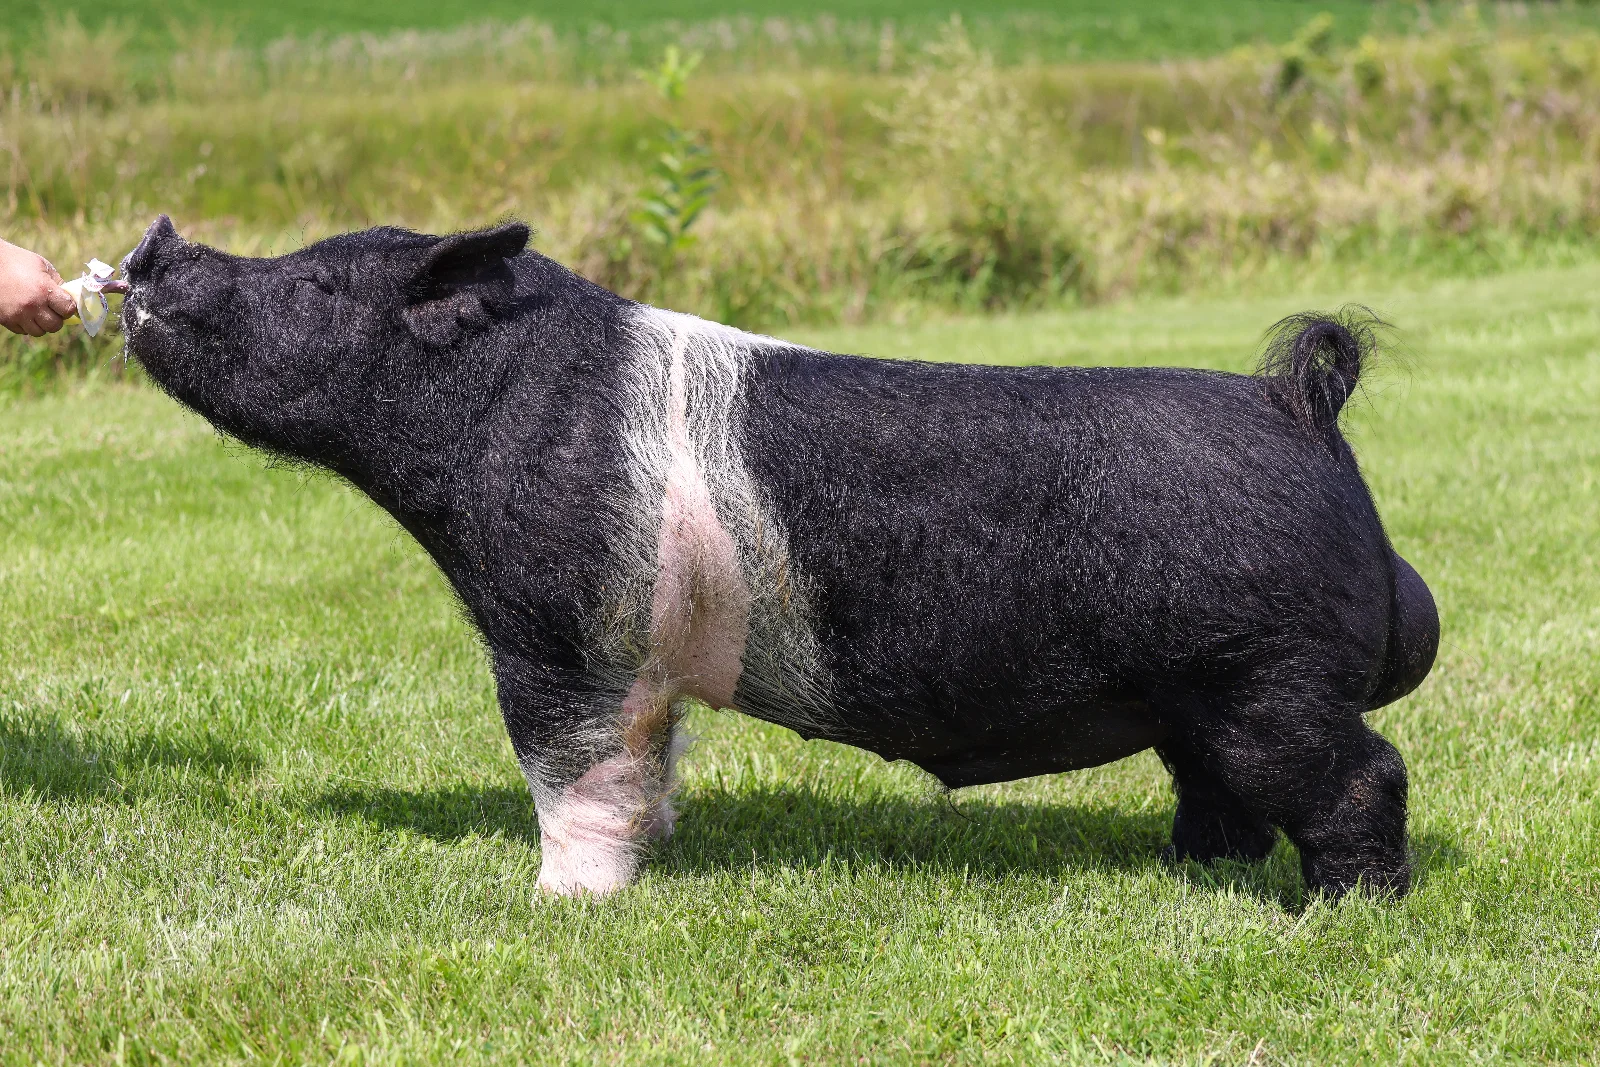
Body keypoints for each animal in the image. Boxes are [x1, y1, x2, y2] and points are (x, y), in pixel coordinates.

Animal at [118, 215, 1438, 898]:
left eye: (313, 283)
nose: (154, 243)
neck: (496, 409)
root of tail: (1299, 407)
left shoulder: (559, 630)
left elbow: (567, 766)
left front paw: (560, 902)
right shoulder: (639, 664)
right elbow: (645, 763)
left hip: (1262, 670)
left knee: (1361, 773)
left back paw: (1338, 911)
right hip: (1201, 689)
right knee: (1217, 787)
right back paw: (1182, 871)